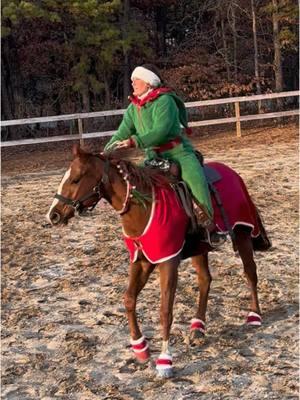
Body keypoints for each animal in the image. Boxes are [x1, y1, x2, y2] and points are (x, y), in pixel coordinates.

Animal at [45, 145, 270, 378]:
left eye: (76, 179)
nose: (53, 215)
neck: (143, 207)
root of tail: (233, 174)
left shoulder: (167, 261)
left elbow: (165, 311)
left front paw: (165, 360)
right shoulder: (142, 261)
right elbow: (129, 299)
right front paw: (140, 347)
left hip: (243, 234)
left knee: (250, 272)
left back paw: (254, 315)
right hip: (200, 247)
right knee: (205, 280)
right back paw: (198, 326)